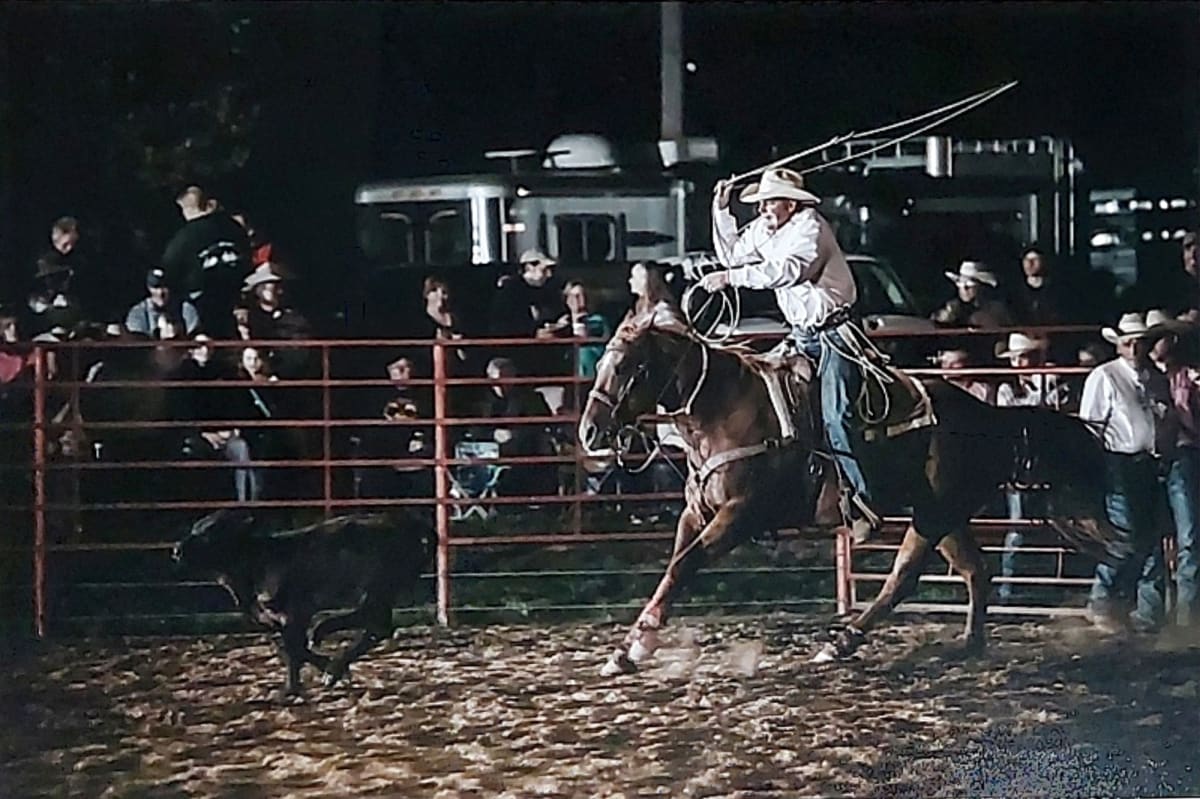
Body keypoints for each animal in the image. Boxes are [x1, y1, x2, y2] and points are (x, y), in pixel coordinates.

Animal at [172, 509, 433, 697]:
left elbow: (294, 649)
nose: (176, 550)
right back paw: (328, 650)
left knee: (375, 623)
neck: (257, 562)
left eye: (210, 532)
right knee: (376, 625)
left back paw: (326, 645)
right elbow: (292, 649)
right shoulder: (274, 620)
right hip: (379, 591)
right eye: (195, 528)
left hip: (376, 587)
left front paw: (291, 689)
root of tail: (408, 523)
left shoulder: (296, 612)